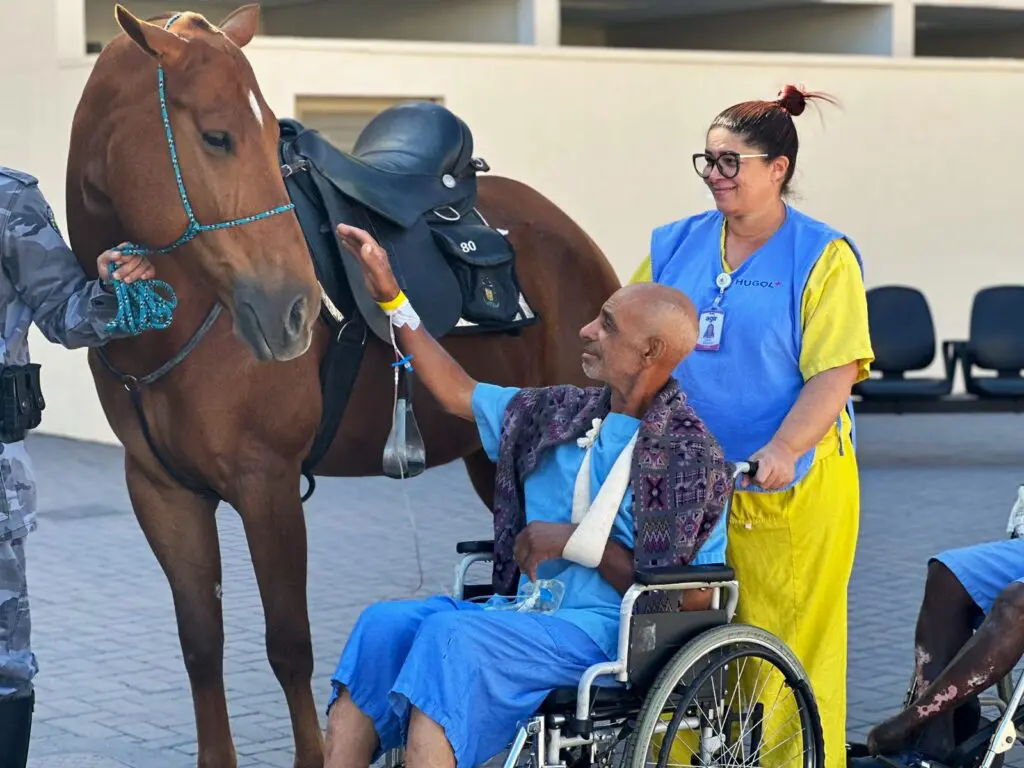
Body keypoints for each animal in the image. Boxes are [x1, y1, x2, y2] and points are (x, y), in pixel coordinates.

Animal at [68, 3, 618, 765]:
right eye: (216, 136)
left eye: (268, 135)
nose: (295, 311)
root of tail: (574, 238)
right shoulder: (163, 492)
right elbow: (201, 644)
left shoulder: (266, 483)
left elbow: (288, 646)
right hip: (493, 457)